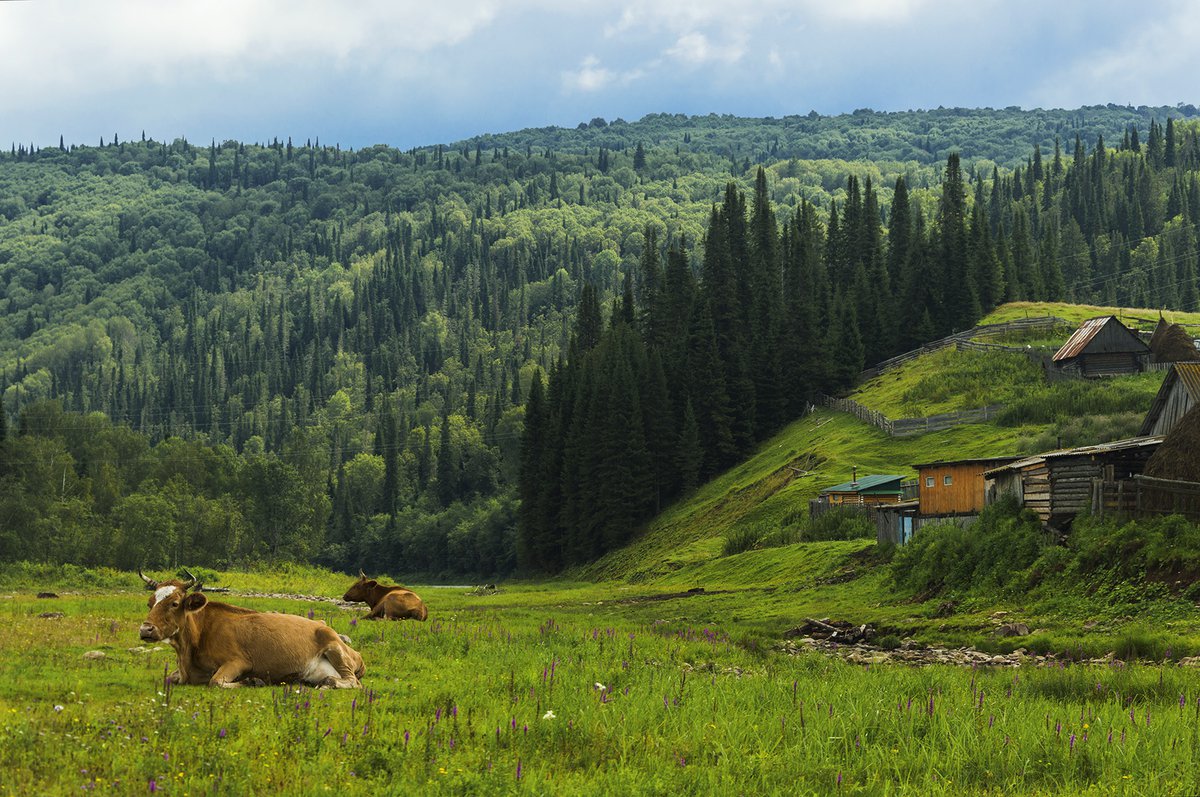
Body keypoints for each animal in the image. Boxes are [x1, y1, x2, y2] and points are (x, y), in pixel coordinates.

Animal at [136, 568, 360, 686]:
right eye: (149, 603)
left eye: (174, 603)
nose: (146, 629)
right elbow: (169, 678)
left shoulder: (238, 661)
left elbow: (215, 681)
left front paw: (252, 681)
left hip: (335, 648)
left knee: (351, 682)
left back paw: (329, 683)